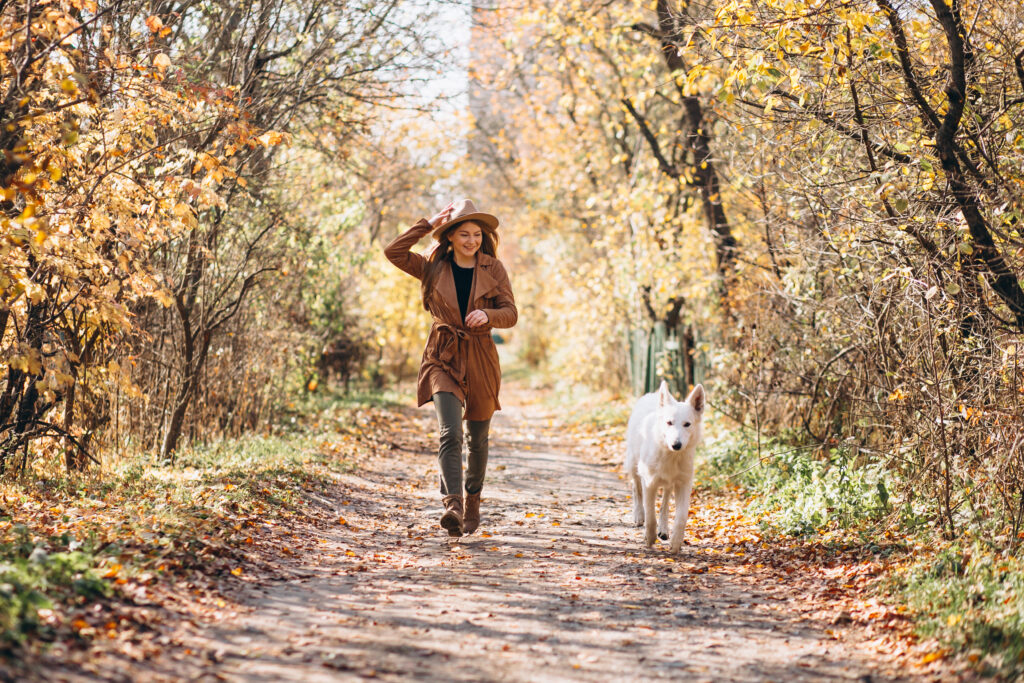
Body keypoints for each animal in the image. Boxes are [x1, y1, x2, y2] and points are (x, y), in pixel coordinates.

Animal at [622, 382, 704, 552]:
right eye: (669, 422)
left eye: (687, 424)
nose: (676, 445)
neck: (671, 456)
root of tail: (652, 394)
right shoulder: (649, 483)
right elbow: (650, 515)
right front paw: (649, 538)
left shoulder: (684, 483)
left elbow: (681, 517)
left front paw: (676, 543)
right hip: (634, 465)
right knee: (636, 489)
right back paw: (639, 516)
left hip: (670, 483)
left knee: (665, 502)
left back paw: (664, 529)